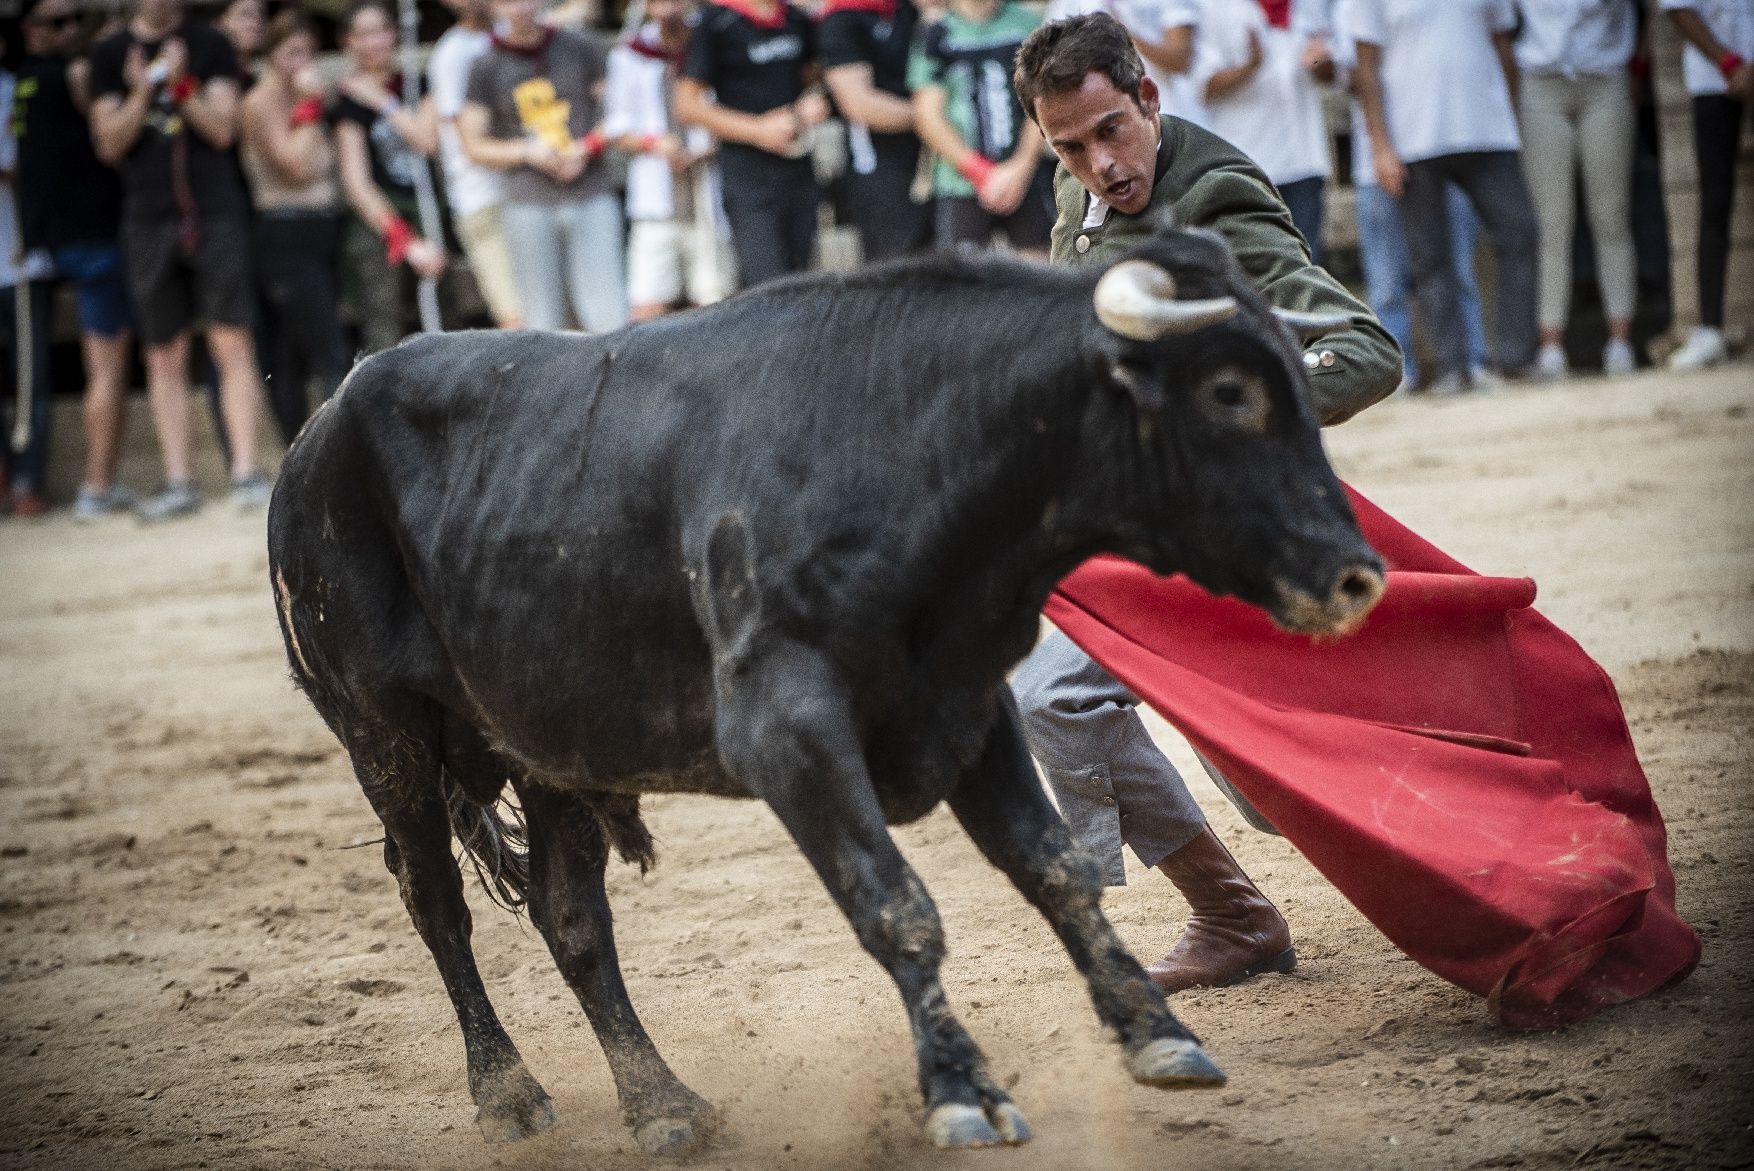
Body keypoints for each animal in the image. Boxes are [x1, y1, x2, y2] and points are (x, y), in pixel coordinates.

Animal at [263, 227, 1382, 1149]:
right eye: (1229, 392)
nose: (1356, 575)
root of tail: (316, 429)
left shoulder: (964, 705)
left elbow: (1055, 866)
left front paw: (1158, 1035)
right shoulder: (788, 732)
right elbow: (897, 904)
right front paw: (962, 1094)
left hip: (543, 746)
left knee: (568, 914)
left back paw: (664, 1105)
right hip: (383, 737)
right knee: (434, 900)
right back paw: (507, 1093)